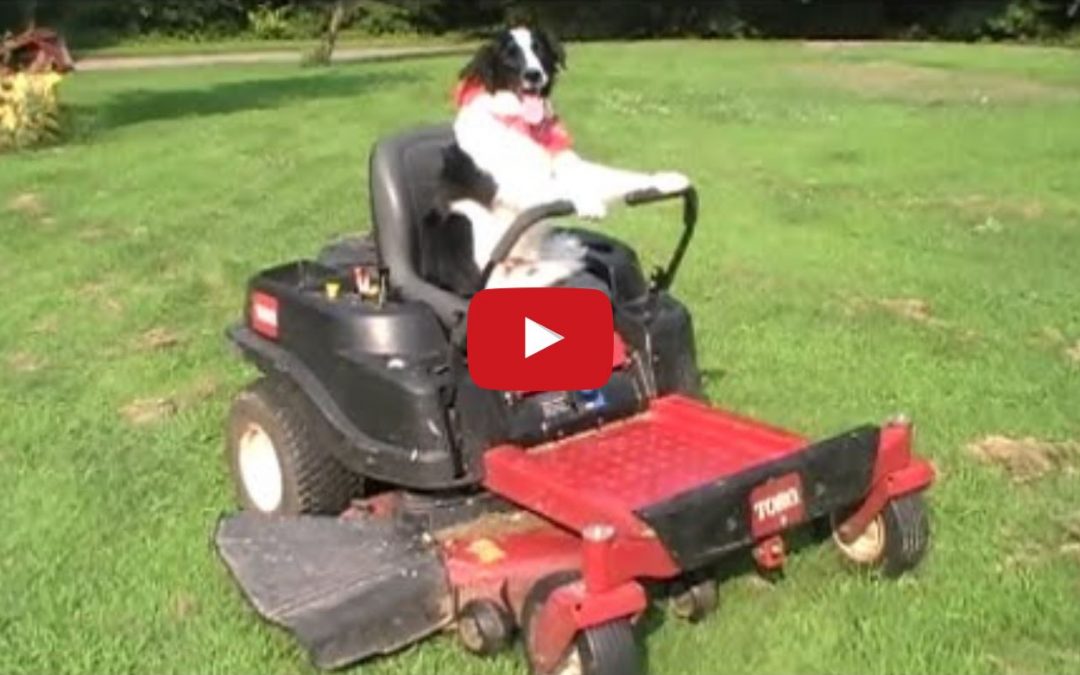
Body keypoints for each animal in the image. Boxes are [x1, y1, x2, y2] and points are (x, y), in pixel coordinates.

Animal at [425, 26, 686, 291]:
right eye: (510, 56)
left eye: (539, 50)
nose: (533, 75)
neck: (527, 127)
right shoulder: (513, 185)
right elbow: (566, 187)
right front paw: (588, 202)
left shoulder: (568, 166)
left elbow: (614, 176)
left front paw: (666, 180)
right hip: (467, 220)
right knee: (503, 279)